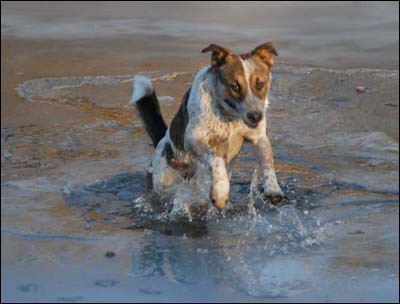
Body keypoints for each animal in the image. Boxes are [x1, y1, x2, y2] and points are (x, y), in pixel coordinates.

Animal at [130, 42, 282, 213]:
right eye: (235, 86)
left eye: (260, 84)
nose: (255, 116)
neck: (230, 117)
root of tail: (161, 141)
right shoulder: (194, 138)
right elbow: (215, 158)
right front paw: (220, 192)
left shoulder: (258, 137)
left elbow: (267, 161)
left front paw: (273, 189)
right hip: (164, 183)